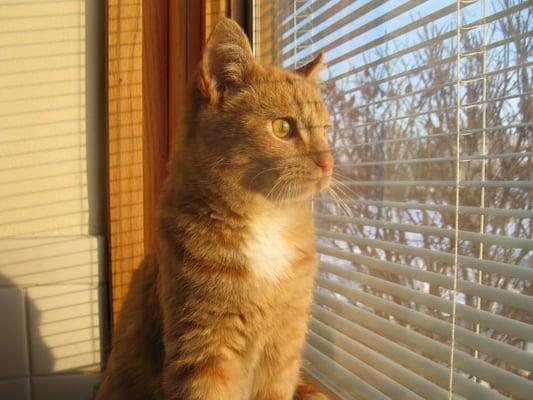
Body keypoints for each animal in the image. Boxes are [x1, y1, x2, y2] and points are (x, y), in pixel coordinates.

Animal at [93, 17, 330, 398]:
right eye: (283, 127)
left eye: (326, 130)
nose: (327, 162)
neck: (265, 222)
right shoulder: (205, 350)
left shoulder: (283, 348)